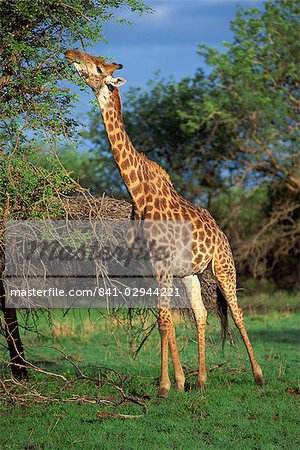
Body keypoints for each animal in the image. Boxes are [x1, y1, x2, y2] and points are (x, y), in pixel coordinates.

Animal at [66, 49, 264, 398]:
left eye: (99, 67)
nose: (70, 53)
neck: (138, 193)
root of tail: (221, 232)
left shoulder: (163, 265)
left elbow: (163, 320)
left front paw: (163, 387)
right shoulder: (152, 266)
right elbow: (166, 319)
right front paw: (181, 381)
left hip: (223, 266)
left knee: (238, 313)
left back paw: (258, 375)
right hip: (191, 273)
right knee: (200, 314)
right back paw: (202, 380)